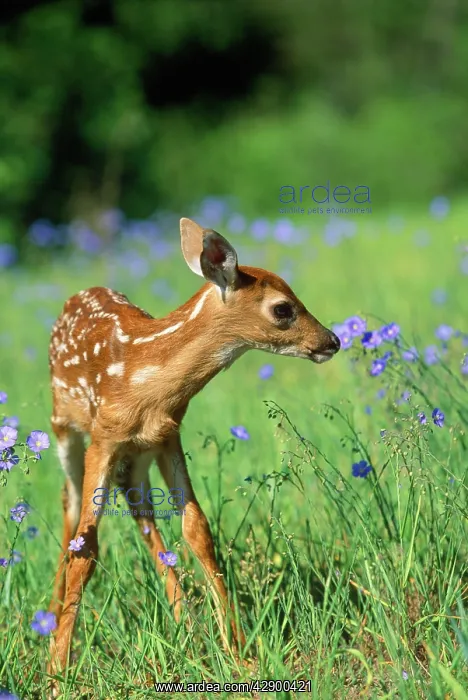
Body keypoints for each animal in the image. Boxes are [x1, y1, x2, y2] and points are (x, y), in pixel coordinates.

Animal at [46, 217, 340, 687]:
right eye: (283, 308)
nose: (332, 340)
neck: (146, 383)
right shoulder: (103, 440)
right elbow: (85, 549)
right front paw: (58, 671)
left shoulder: (168, 435)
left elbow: (197, 530)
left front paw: (237, 651)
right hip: (64, 428)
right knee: (69, 504)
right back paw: (53, 621)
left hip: (137, 459)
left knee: (142, 514)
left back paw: (185, 625)